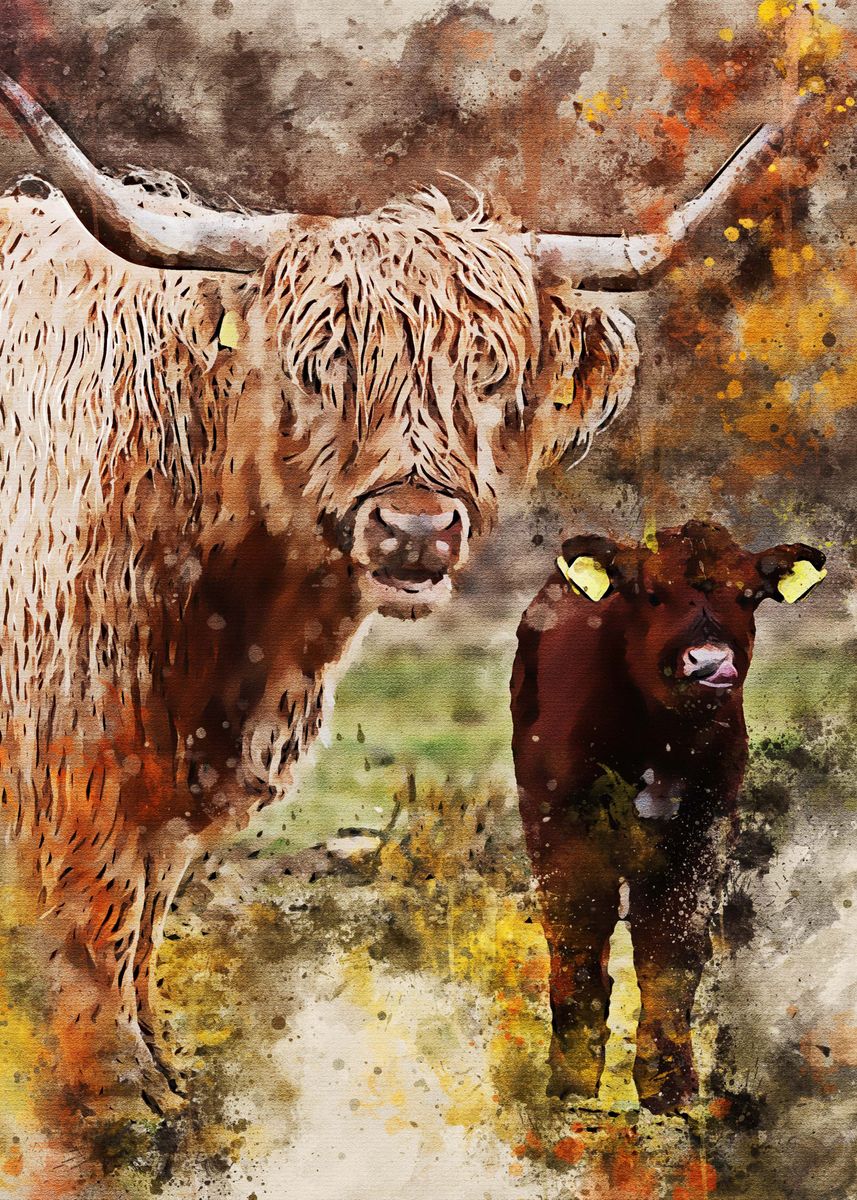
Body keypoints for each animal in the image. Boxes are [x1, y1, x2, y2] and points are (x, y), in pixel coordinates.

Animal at [0, 71, 787, 1114]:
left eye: (489, 372)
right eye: (319, 364)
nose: (415, 529)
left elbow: (135, 919)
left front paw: (166, 1085)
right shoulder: (67, 746)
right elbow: (92, 924)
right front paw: (115, 1096)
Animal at [510, 521, 826, 1113]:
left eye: (748, 597)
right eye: (652, 594)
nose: (710, 662)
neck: (659, 739)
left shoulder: (703, 831)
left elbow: (671, 947)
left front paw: (670, 1084)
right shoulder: (563, 829)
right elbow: (578, 936)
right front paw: (573, 1080)